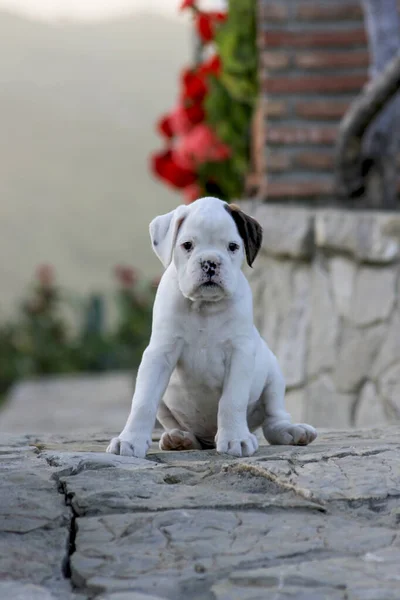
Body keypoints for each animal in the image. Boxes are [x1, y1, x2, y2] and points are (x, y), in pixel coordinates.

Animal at [107, 197, 316, 460]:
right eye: (187, 245)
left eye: (233, 247)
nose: (210, 263)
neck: (204, 307)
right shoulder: (159, 354)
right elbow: (143, 401)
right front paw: (130, 440)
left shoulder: (240, 354)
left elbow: (232, 400)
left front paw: (235, 438)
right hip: (168, 405)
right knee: (179, 425)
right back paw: (180, 438)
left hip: (274, 376)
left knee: (273, 419)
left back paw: (291, 431)